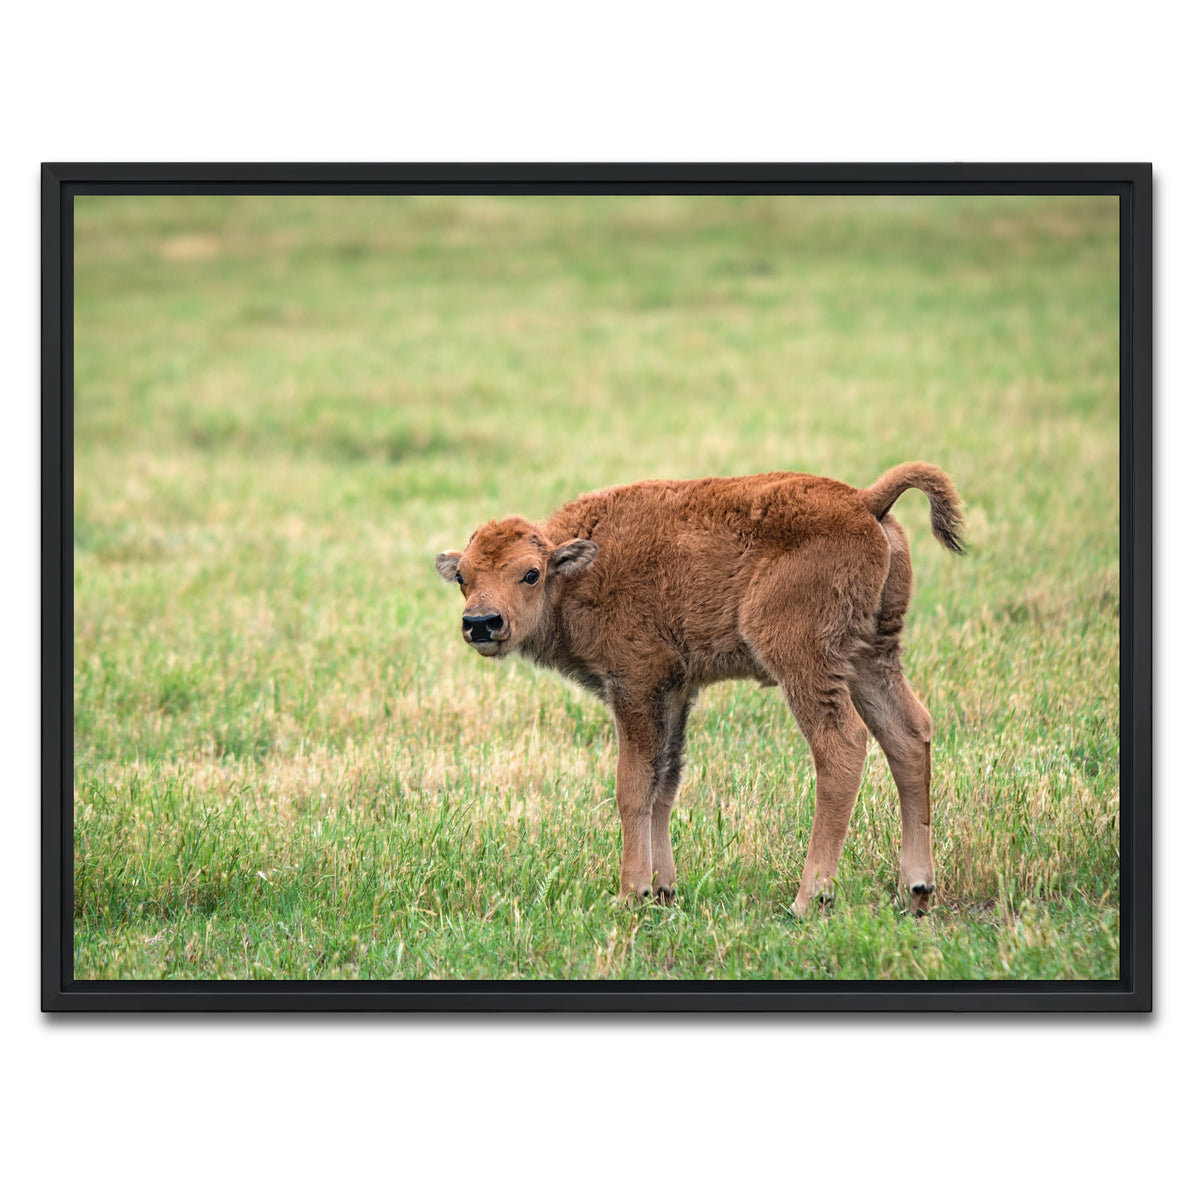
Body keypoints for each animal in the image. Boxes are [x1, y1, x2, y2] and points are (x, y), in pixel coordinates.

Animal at [435, 462, 965, 917]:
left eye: (530, 573)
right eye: (463, 576)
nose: (481, 622)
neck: (576, 567)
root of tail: (864, 501)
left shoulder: (635, 683)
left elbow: (633, 786)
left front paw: (630, 893)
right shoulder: (674, 691)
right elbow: (664, 782)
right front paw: (664, 891)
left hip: (806, 661)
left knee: (841, 747)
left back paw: (808, 898)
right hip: (870, 655)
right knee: (908, 734)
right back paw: (916, 890)